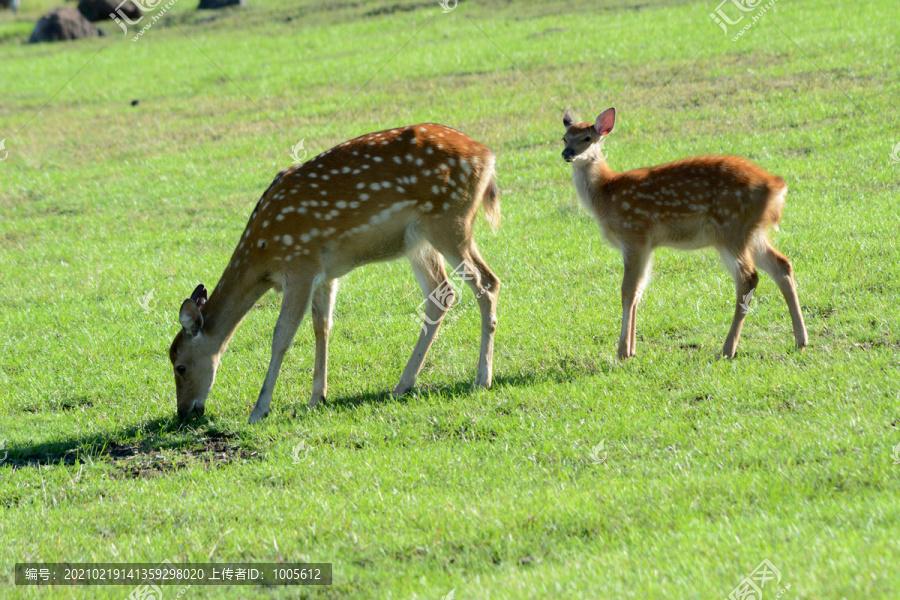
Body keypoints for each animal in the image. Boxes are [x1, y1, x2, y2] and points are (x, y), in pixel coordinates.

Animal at [172, 123, 502, 422]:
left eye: (180, 366)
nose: (184, 413)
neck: (263, 255)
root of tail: (487, 156)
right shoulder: (325, 273)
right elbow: (322, 326)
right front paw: (317, 397)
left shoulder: (300, 263)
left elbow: (282, 335)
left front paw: (259, 410)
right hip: (418, 240)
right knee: (442, 293)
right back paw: (402, 386)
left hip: (449, 221)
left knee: (486, 282)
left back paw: (481, 379)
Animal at [564, 107, 808, 358]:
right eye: (564, 138)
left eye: (587, 138)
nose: (567, 153)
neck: (605, 194)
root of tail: (776, 187)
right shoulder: (646, 244)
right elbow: (639, 291)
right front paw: (631, 350)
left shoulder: (634, 232)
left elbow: (628, 290)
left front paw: (622, 352)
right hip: (750, 232)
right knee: (781, 264)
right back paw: (800, 340)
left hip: (731, 227)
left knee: (748, 278)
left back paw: (728, 348)